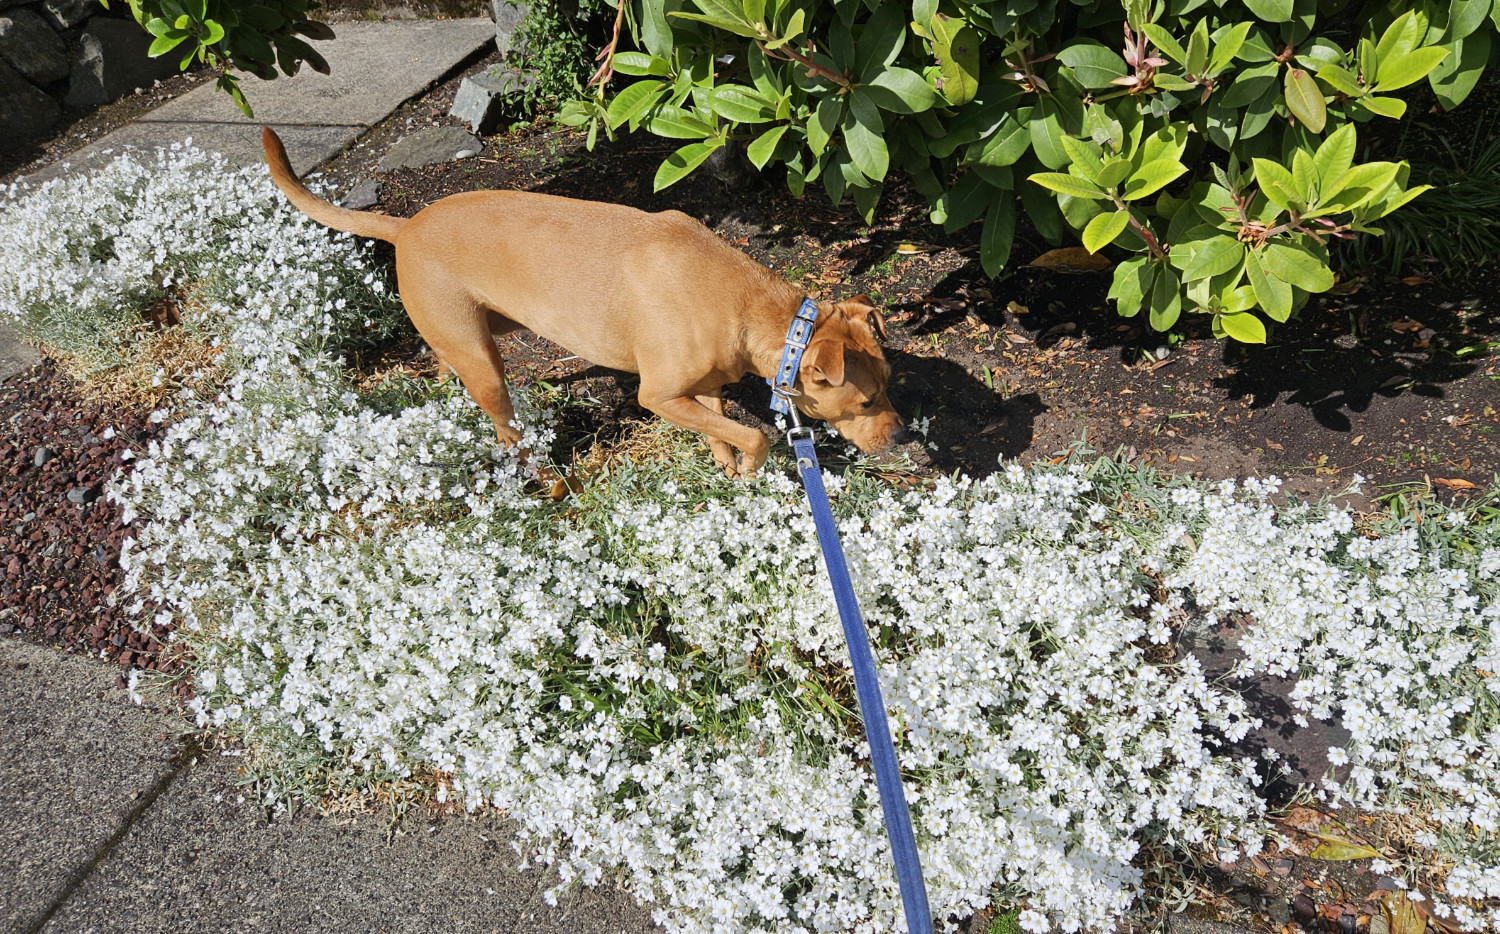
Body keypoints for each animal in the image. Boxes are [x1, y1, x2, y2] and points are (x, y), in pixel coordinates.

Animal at [261, 128, 900, 479]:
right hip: (489, 368)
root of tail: (407, 226)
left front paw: (725, 461)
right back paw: (538, 474)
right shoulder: (657, 394)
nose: (897, 436)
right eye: (865, 400)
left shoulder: (703, 386)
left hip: (478, 331)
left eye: (891, 384)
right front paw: (748, 463)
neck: (755, 313)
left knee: (446, 361)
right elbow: (755, 435)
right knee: (504, 426)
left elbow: (721, 425)